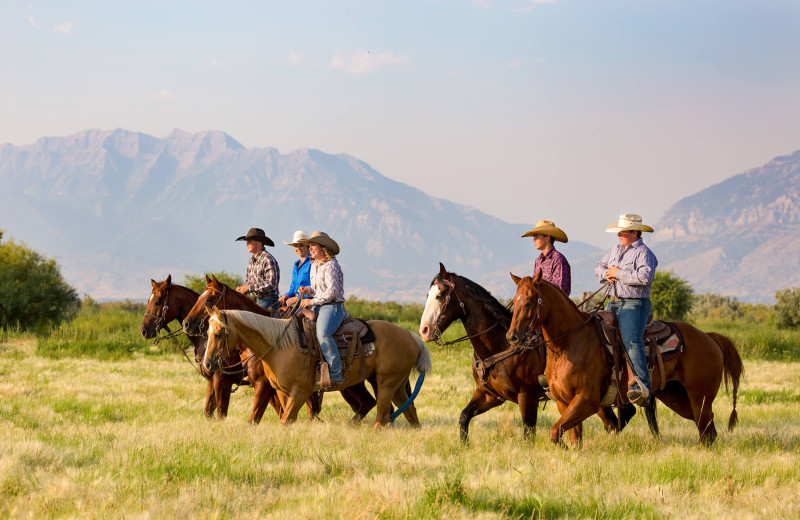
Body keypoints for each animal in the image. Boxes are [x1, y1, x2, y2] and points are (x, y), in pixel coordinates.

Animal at [141, 276, 282, 422]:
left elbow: (221, 414)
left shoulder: (222, 380)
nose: (144, 330)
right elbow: (208, 412)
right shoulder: (211, 381)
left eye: (157, 302)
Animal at [182, 274, 382, 420]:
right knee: (366, 404)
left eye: (209, 299)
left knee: (366, 404)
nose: (186, 323)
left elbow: (253, 416)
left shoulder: (259, 385)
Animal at [203, 306, 434, 428]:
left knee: (382, 412)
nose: (207, 364)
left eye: (218, 334)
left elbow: (284, 419)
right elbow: (287, 419)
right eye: (207, 332)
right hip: (395, 384)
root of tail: (411, 336)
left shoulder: (300, 391)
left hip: (386, 383)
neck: (280, 345)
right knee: (410, 412)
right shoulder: (283, 392)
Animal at [418, 264, 636, 442]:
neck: (499, 346)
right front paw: (464, 446)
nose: (424, 330)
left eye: (440, 295)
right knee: (615, 419)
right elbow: (464, 417)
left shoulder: (527, 396)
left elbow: (528, 433)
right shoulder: (489, 396)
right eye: (427, 295)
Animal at [506, 272, 744, 446]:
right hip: (677, 397)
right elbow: (572, 438)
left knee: (707, 432)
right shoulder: (564, 402)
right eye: (515, 301)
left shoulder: (587, 401)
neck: (569, 343)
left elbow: (555, 432)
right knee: (707, 430)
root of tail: (709, 338)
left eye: (530, 301)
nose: (513, 336)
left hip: (699, 397)